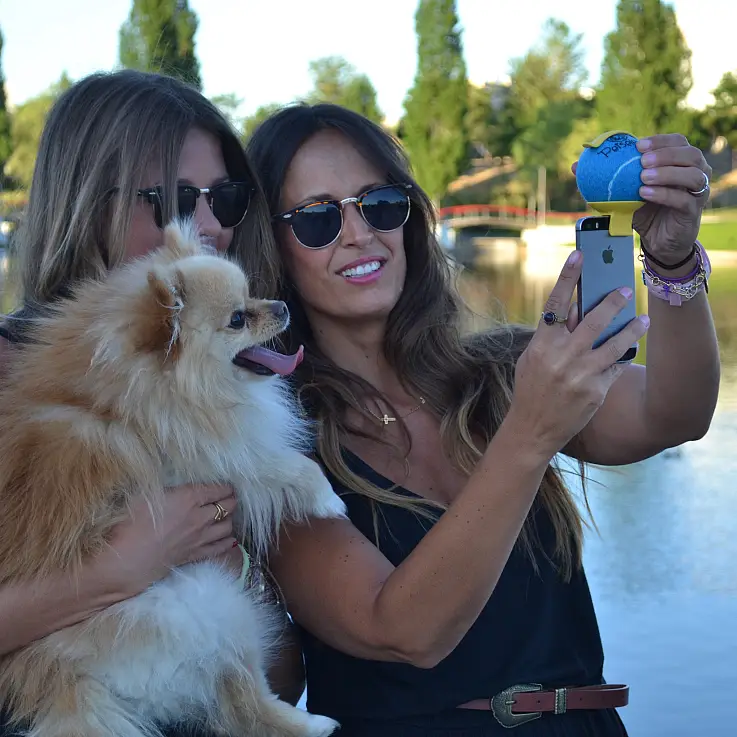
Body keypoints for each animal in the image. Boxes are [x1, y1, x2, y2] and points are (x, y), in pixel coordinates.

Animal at [0, 220, 346, 736]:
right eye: (237, 319)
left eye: (253, 294)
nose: (282, 306)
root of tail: (65, 679)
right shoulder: (201, 455)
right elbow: (279, 462)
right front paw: (327, 498)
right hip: (212, 602)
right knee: (244, 701)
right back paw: (314, 724)